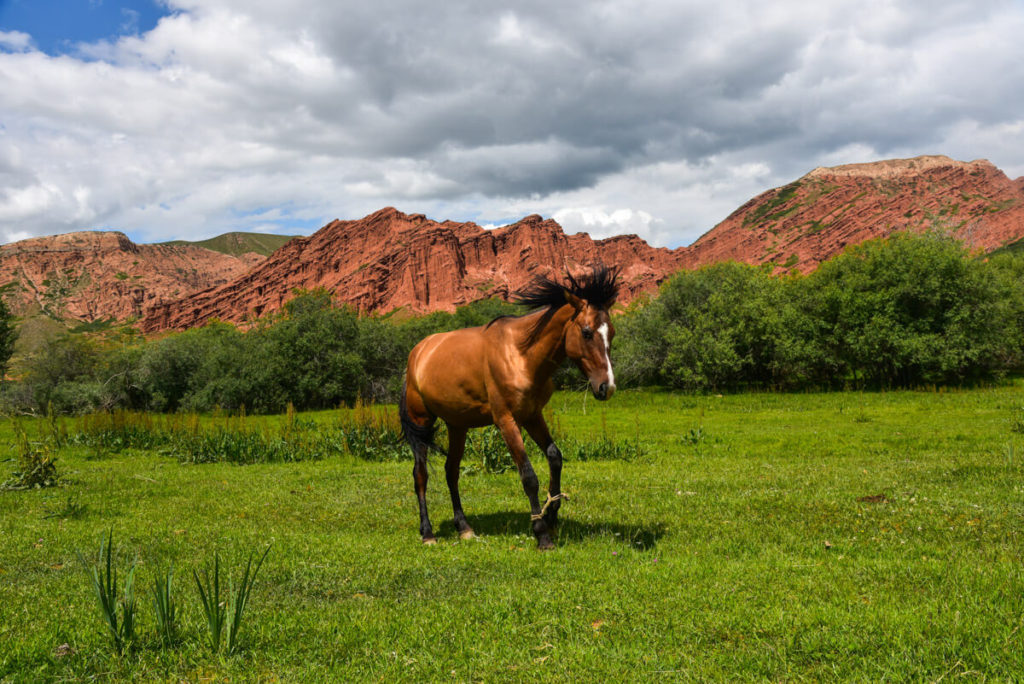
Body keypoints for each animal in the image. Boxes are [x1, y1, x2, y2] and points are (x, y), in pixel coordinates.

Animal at [397, 266, 618, 548]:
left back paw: (464, 528)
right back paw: (427, 533)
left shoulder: (532, 416)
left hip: (457, 426)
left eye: (611, 333)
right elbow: (529, 477)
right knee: (421, 475)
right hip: (421, 422)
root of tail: (418, 353)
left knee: (451, 471)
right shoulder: (506, 421)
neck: (520, 355)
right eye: (587, 332)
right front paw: (541, 532)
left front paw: (552, 517)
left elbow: (555, 458)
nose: (607, 387)